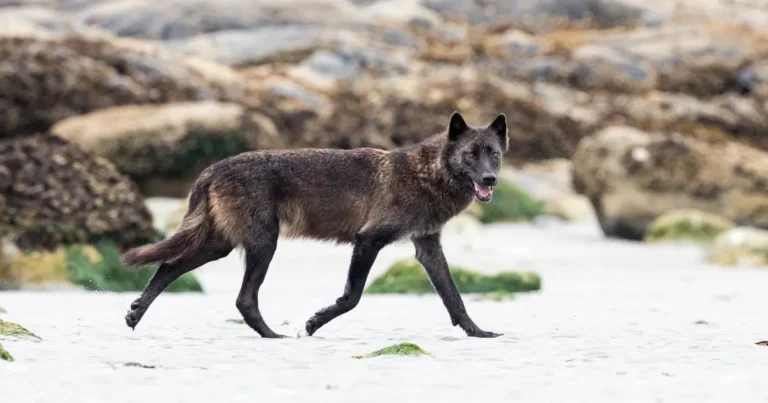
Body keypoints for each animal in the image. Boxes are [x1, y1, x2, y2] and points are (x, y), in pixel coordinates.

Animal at [122, 111, 509, 338]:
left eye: (494, 153)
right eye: (471, 154)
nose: (490, 180)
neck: (428, 175)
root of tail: (213, 168)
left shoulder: (427, 247)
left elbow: (454, 297)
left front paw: (478, 333)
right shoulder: (368, 240)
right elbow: (351, 297)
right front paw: (312, 323)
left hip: (221, 245)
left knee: (170, 266)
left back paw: (135, 314)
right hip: (262, 244)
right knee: (243, 298)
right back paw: (271, 336)